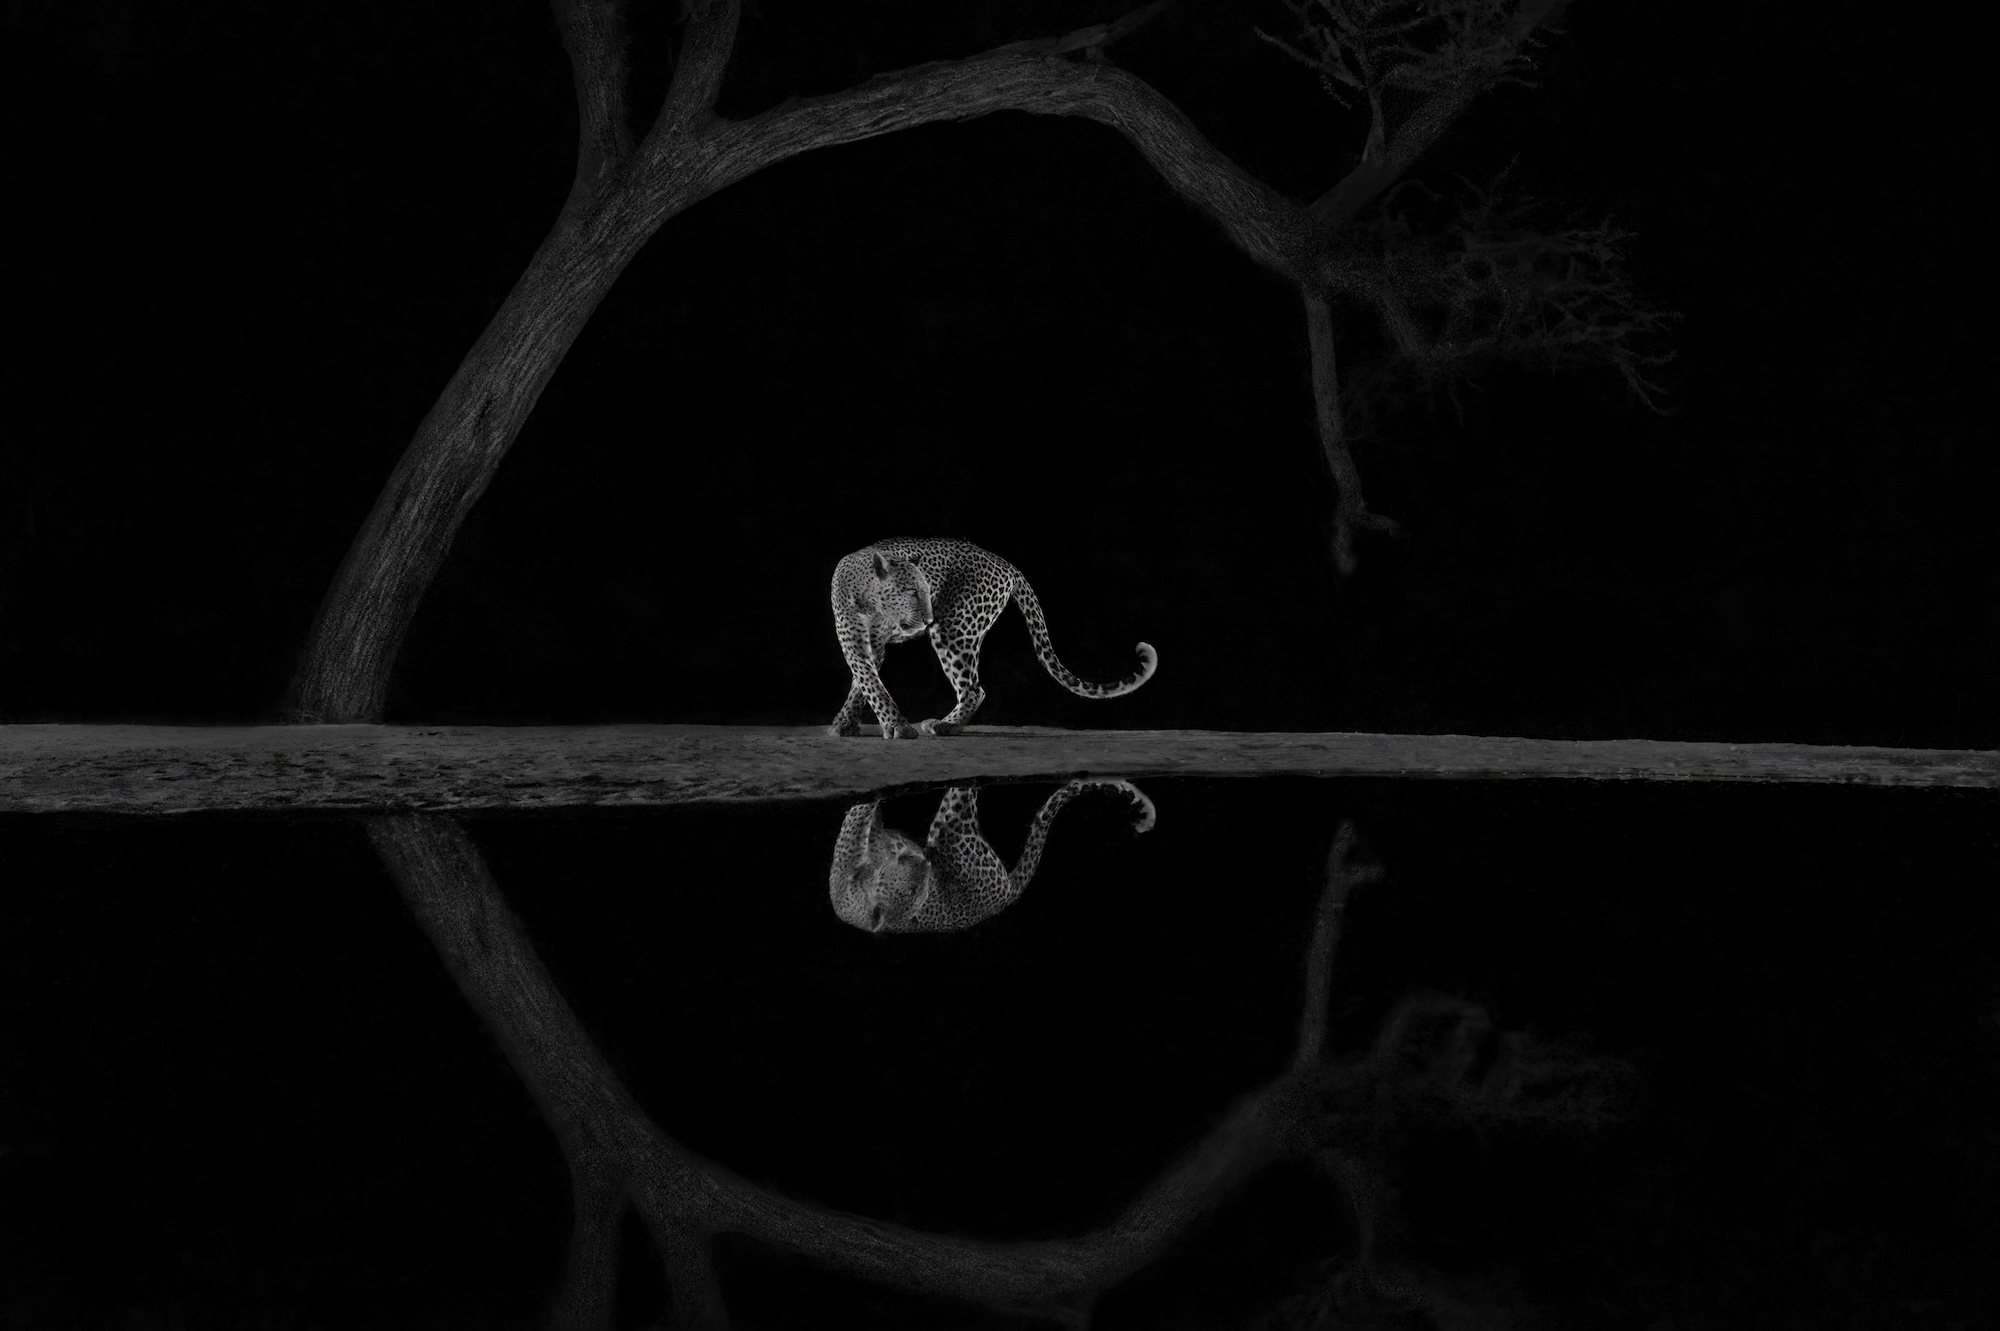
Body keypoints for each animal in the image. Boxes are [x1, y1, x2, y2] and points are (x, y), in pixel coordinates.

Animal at [820, 535, 1160, 735]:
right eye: (912, 593)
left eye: (928, 591)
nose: (928, 617)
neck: (871, 600)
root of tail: (1006, 563)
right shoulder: (857, 641)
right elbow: (866, 680)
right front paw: (846, 722)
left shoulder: (869, 642)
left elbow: (870, 682)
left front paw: (896, 726)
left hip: (954, 630)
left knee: (974, 689)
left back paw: (946, 726)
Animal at [828, 771, 1160, 927]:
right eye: (911, 888)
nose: (924, 862)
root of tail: (1007, 894)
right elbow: (855, 829)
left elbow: (861, 822)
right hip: (952, 830)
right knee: (963, 793)